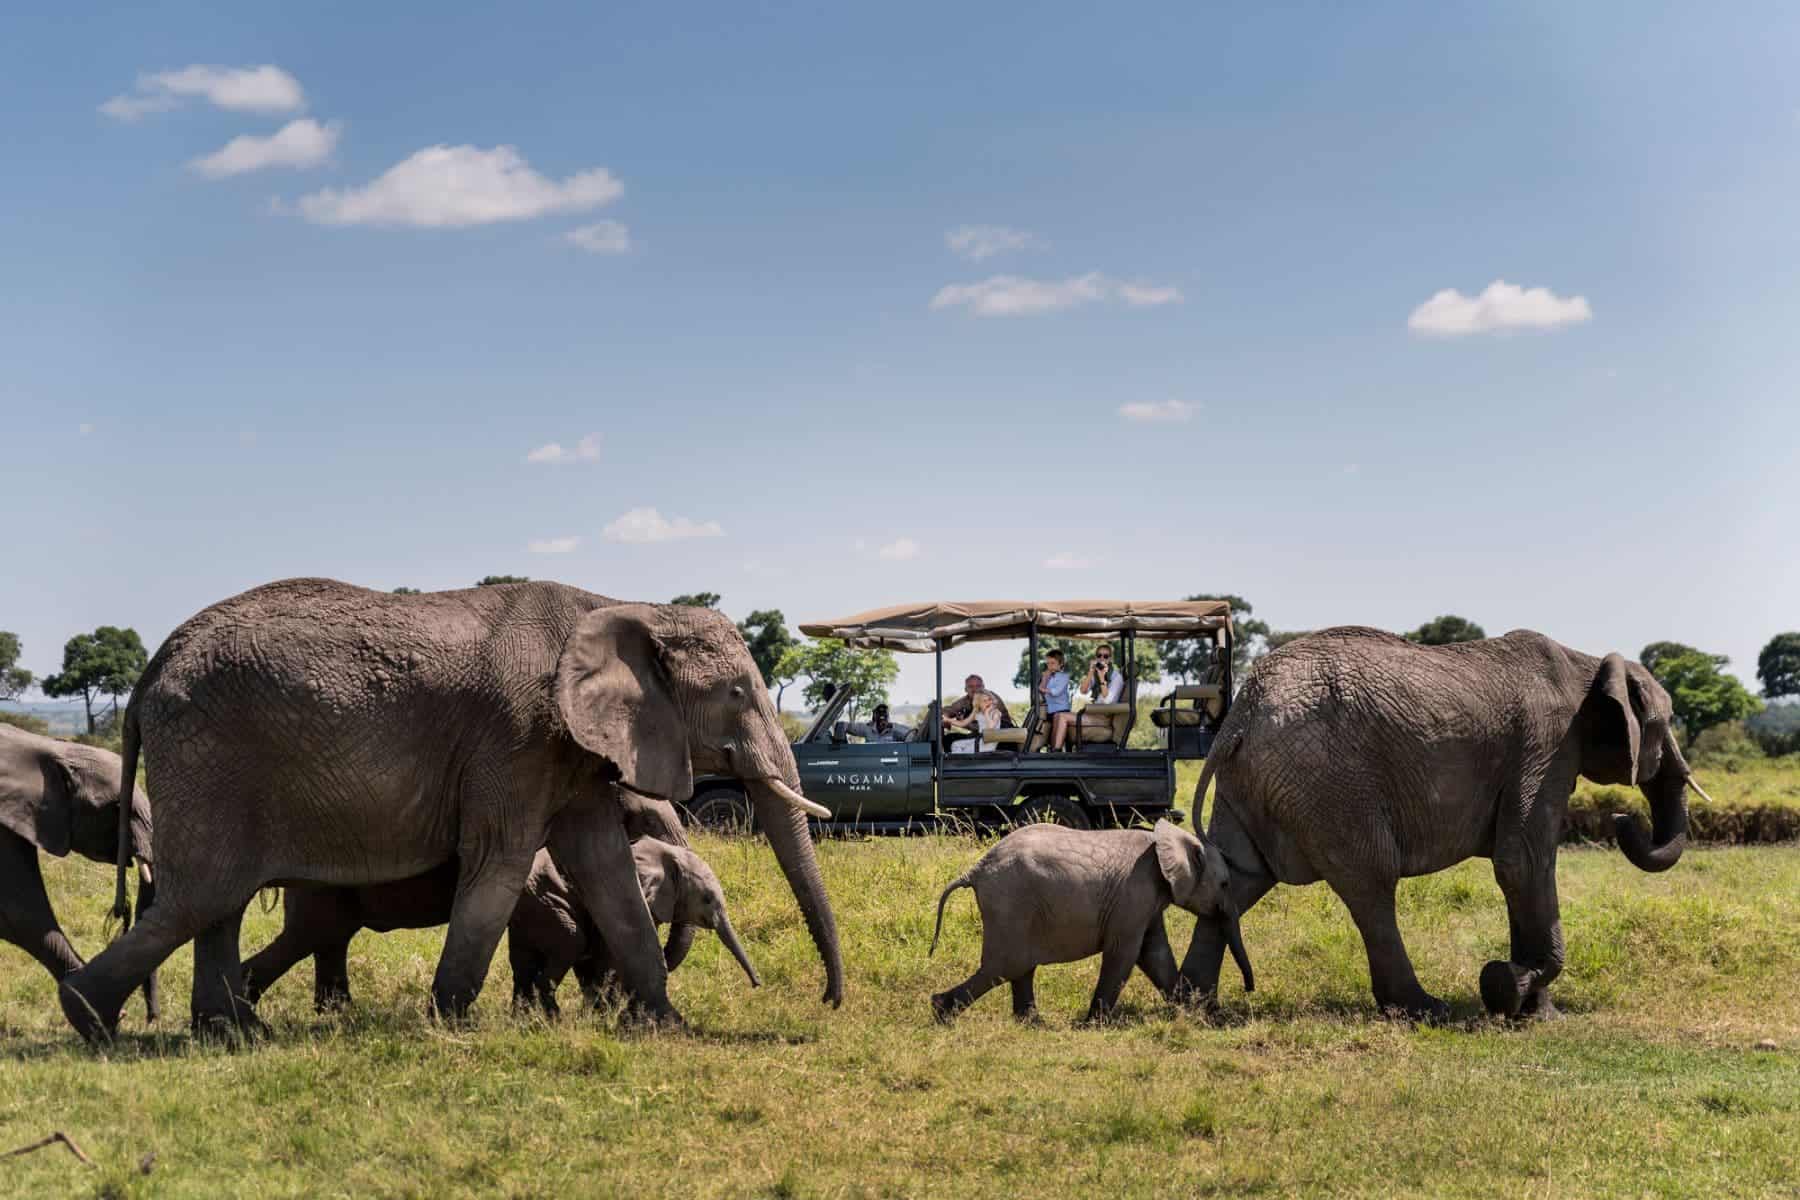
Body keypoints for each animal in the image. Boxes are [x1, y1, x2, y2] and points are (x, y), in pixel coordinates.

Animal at [240, 838, 759, 1017]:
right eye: (707, 900)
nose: (758, 986)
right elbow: (593, 947)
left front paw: (596, 1012)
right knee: (311, 936)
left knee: (328, 938)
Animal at [928, 821, 1252, 1023]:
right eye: (1225, 884)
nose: (1249, 990)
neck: (1168, 839)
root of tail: (977, 869)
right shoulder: (1135, 893)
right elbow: (1125, 953)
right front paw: (1094, 1024)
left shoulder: (1147, 901)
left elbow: (1156, 954)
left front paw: (1190, 1012)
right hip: (1011, 904)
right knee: (1004, 966)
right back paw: (941, 1012)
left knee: (1019, 967)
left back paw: (1032, 1024)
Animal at [1177, 627, 1710, 1022]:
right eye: (1663, 725)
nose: (1624, 818)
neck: (1588, 663)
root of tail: (1240, 715)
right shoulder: (1547, 746)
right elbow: (1523, 860)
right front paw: (1506, 988)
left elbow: (1517, 867)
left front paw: (1532, 1009)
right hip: (1327, 779)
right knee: (1371, 883)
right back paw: (1424, 1009)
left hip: (1258, 780)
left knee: (1239, 877)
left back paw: (1192, 1004)